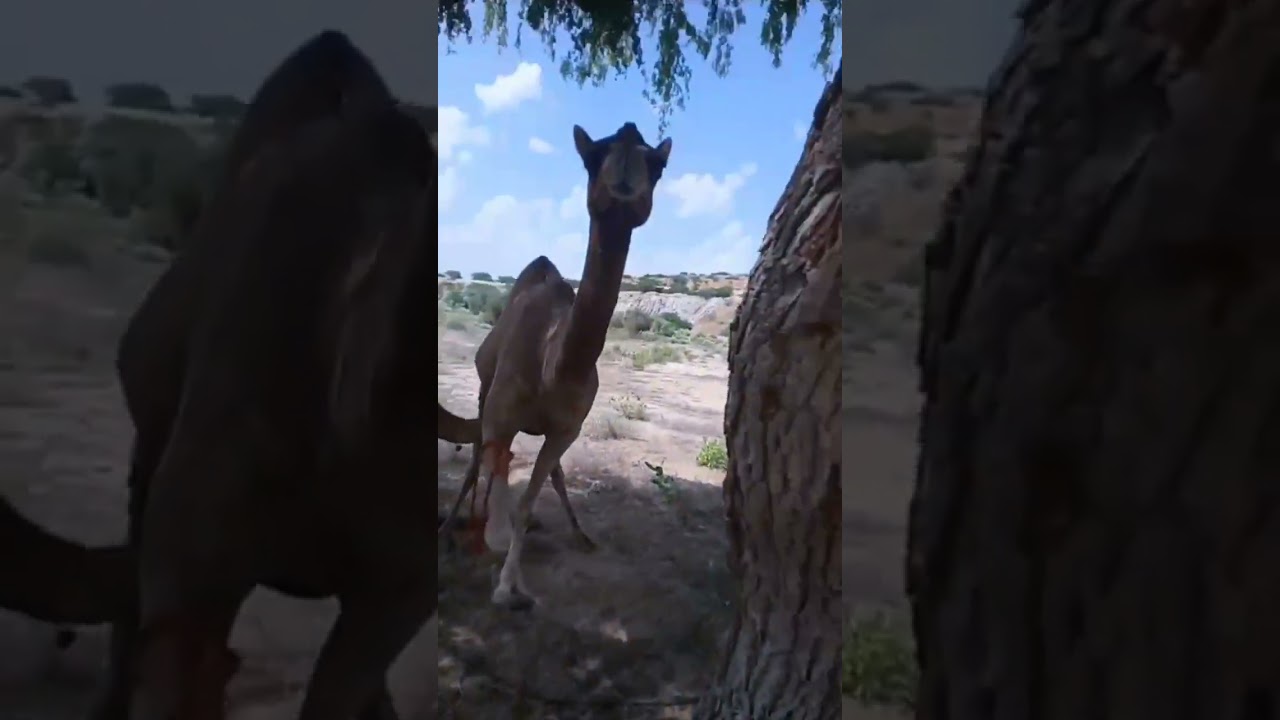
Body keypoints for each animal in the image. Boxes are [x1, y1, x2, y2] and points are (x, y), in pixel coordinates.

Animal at [445, 122, 672, 609]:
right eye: (593, 154)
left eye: (657, 163)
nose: (629, 133)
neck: (553, 368)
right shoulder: (500, 415)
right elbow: (498, 484)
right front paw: (499, 567)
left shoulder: (566, 430)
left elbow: (531, 497)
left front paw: (512, 584)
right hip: (483, 387)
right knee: (475, 460)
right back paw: (452, 524)